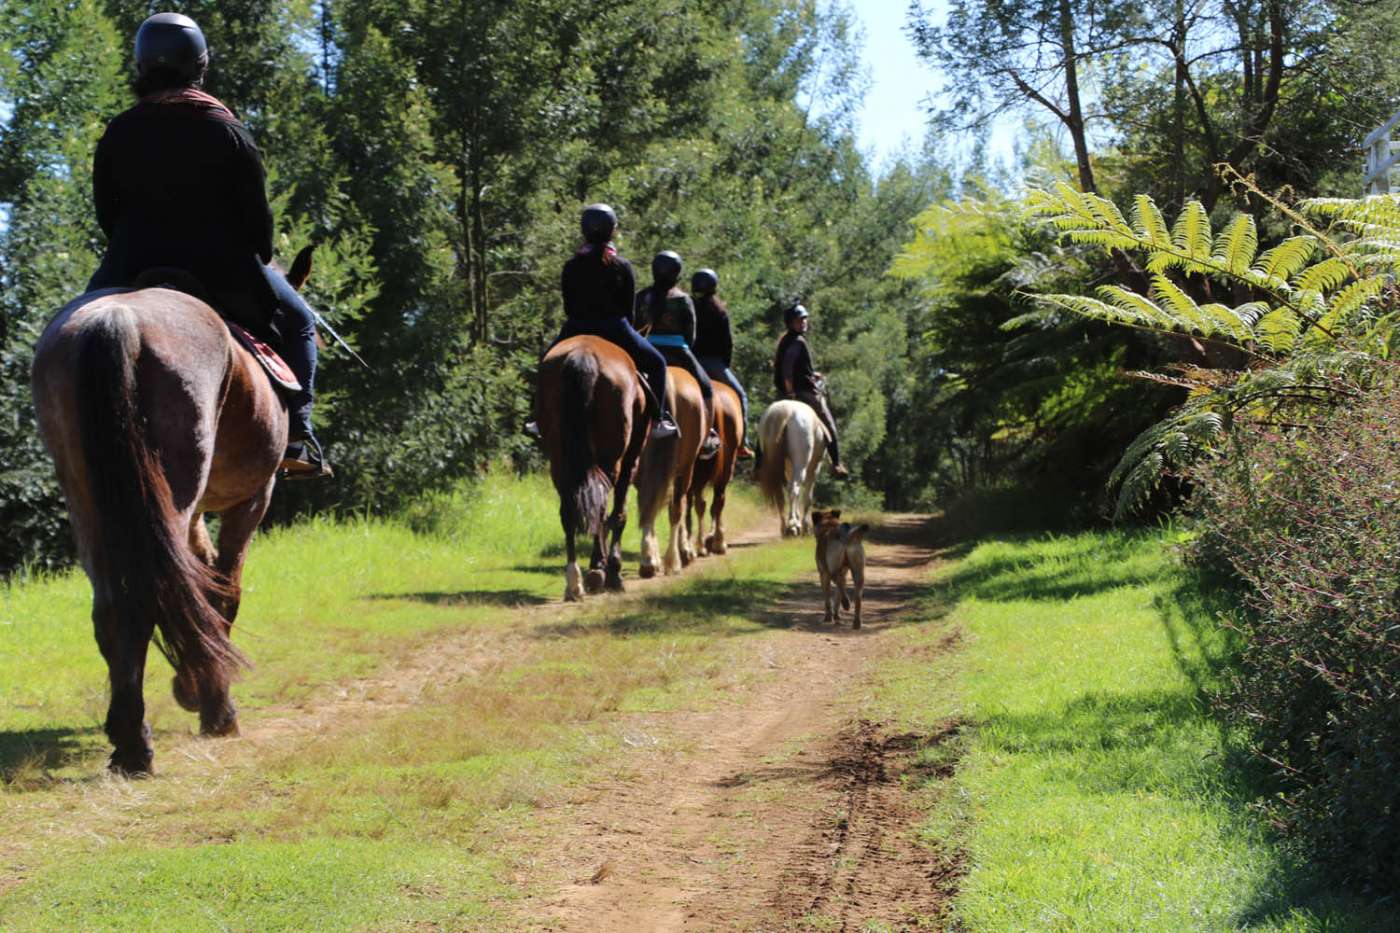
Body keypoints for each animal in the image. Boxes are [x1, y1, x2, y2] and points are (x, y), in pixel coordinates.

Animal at [28, 246, 315, 767]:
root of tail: (117, 319)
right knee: (152, 594)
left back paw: (128, 735)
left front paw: (193, 683)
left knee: (113, 607)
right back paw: (157, 738)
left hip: (89, 503)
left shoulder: (196, 510)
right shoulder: (251, 498)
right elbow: (224, 588)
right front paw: (209, 699)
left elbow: (198, 581)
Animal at [534, 337, 649, 599]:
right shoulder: (630, 462)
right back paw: (602, 573)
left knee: (569, 513)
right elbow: (618, 514)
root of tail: (583, 355)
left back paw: (574, 582)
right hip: (612, 461)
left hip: (559, 461)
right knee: (602, 508)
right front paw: (610, 569)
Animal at [635, 364, 705, 574]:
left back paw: (648, 561)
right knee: (676, 509)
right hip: (686, 469)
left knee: (647, 503)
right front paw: (685, 551)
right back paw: (673, 560)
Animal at [756, 395, 828, 535]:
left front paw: (798, 519)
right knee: (793, 490)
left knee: (783, 492)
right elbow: (807, 496)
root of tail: (785, 410)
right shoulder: (814, 468)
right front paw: (805, 525)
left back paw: (785, 526)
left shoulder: (789, 468)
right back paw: (793, 526)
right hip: (802, 466)